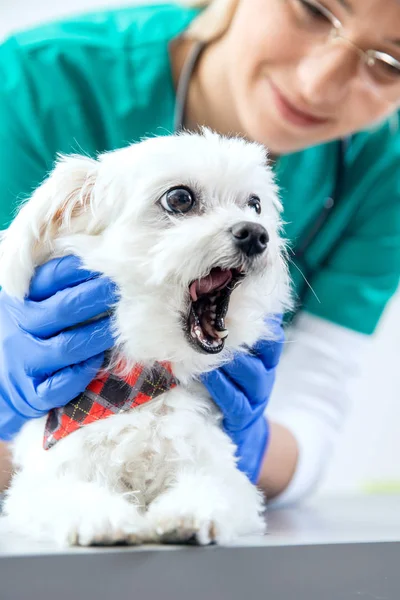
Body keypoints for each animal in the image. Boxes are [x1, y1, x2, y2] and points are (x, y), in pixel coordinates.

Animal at [0, 129, 290, 548]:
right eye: (179, 198)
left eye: (254, 205)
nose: (255, 233)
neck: (142, 383)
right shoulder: (44, 478)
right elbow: (68, 492)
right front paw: (103, 519)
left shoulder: (222, 473)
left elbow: (210, 488)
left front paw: (185, 515)